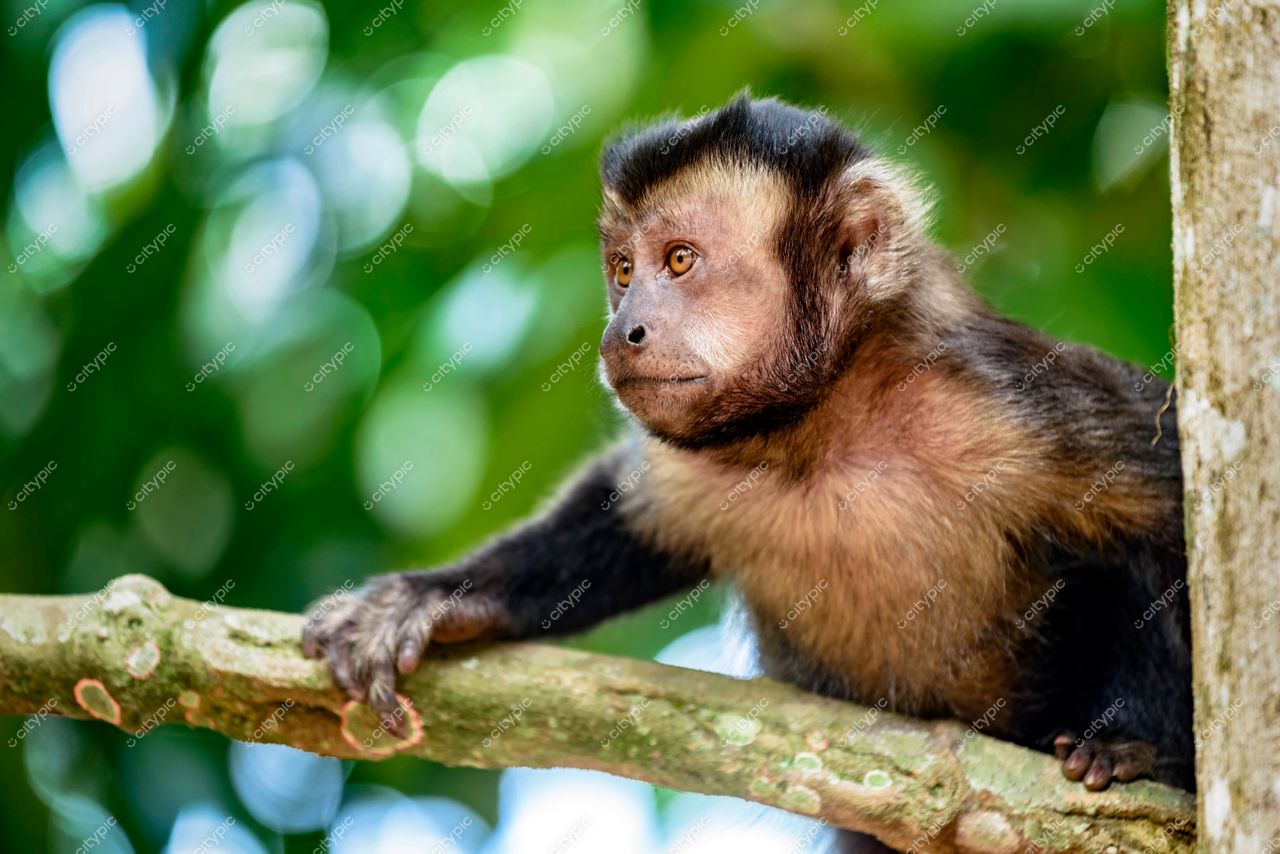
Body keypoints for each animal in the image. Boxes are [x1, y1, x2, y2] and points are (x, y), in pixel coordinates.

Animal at [302, 94, 1192, 850]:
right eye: (622, 270)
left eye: (680, 261)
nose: (622, 329)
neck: (822, 429)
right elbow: (625, 523)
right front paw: (441, 598)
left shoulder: (1008, 404)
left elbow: (1171, 511)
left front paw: (1139, 741)